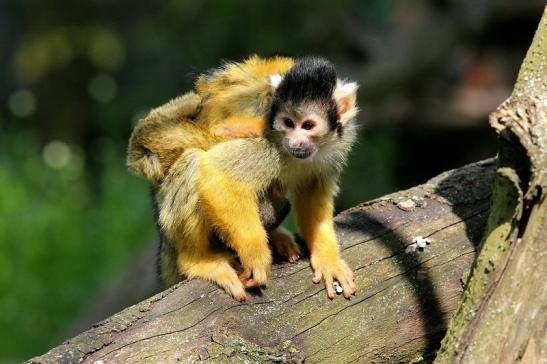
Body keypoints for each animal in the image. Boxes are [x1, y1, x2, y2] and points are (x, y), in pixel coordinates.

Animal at [127, 55, 360, 300]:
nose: (295, 142)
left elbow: (314, 191)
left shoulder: (340, 142)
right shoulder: (270, 142)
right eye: (288, 123)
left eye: (308, 125)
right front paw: (256, 257)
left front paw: (327, 259)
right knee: (186, 155)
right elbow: (216, 172)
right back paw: (197, 261)